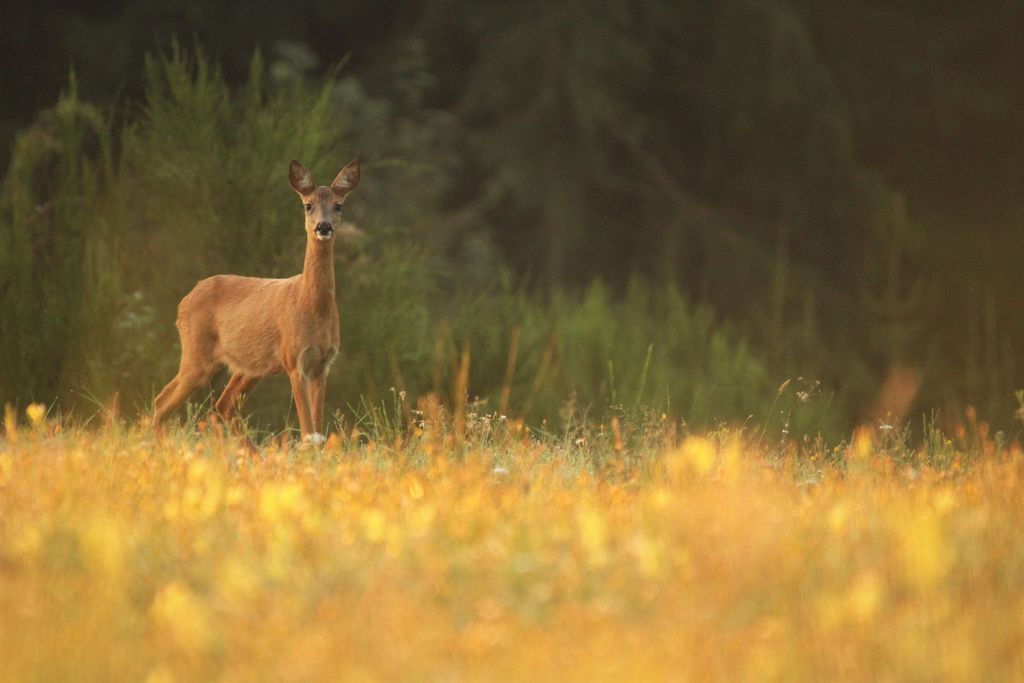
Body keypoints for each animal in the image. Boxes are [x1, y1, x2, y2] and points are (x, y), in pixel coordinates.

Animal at [151, 157, 360, 450]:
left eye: (338, 205)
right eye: (308, 205)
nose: (324, 226)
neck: (312, 307)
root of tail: (185, 300)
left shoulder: (322, 364)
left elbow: (317, 432)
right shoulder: (294, 360)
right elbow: (308, 431)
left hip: (249, 365)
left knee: (223, 405)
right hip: (197, 354)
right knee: (163, 401)